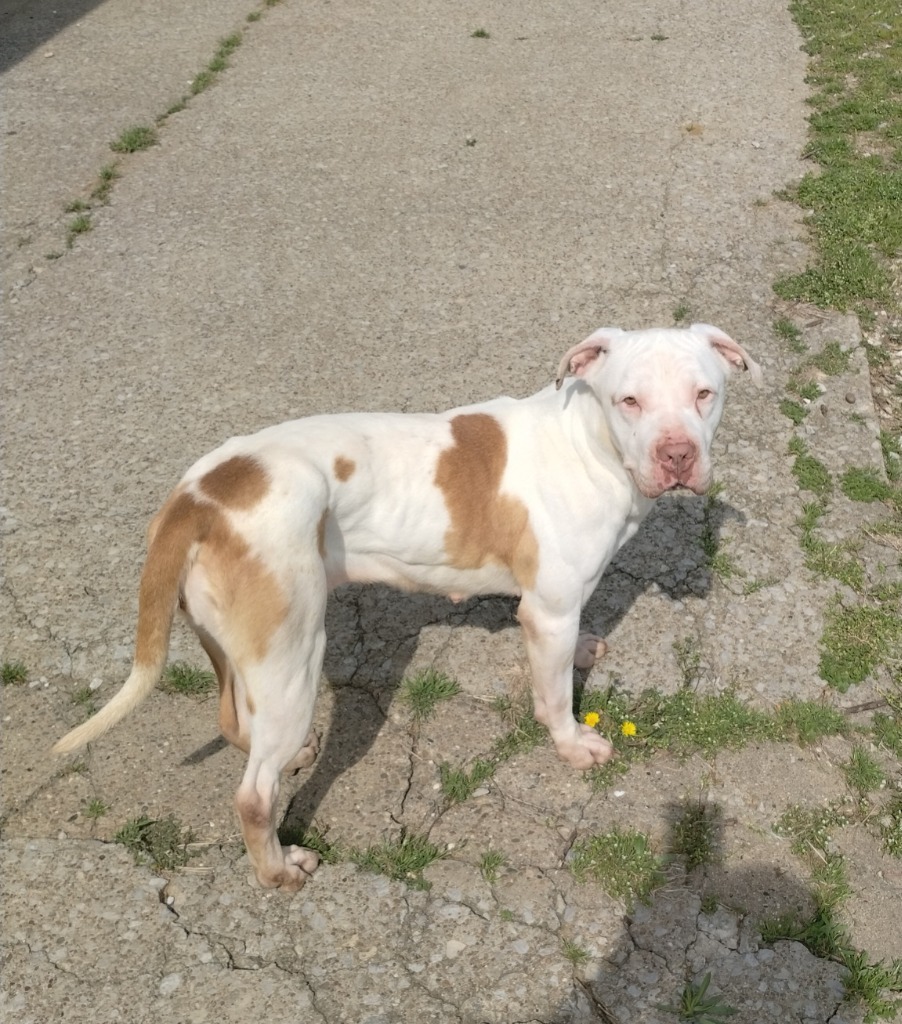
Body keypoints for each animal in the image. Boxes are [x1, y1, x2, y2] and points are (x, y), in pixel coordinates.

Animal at [54, 325, 761, 888]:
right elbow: (556, 696)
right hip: (295, 654)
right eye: (629, 400)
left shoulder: (559, 610)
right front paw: (571, 744)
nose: (678, 454)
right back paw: (279, 871)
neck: (588, 441)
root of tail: (196, 496)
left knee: (235, 722)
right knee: (253, 796)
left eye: (704, 393)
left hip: (235, 649)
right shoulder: (548, 612)